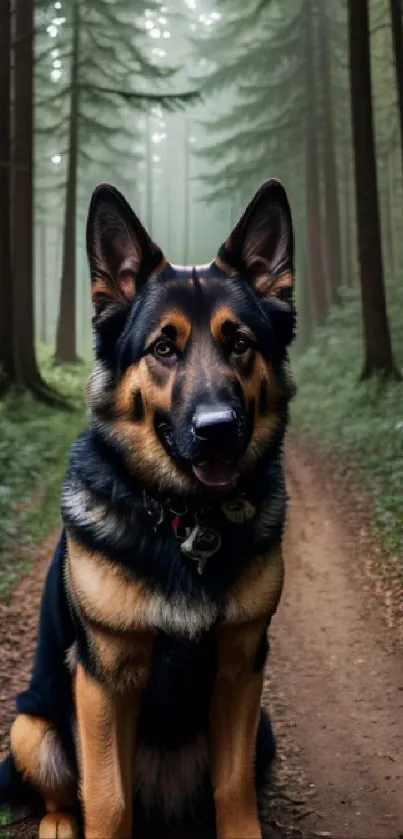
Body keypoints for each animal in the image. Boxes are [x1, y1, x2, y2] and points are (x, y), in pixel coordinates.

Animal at [0, 180, 296, 836]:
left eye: (240, 343)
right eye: (164, 348)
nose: (218, 430)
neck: (187, 521)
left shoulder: (241, 669)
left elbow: (234, 787)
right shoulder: (103, 683)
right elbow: (107, 801)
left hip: (263, 728)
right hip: (30, 725)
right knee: (64, 791)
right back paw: (58, 823)